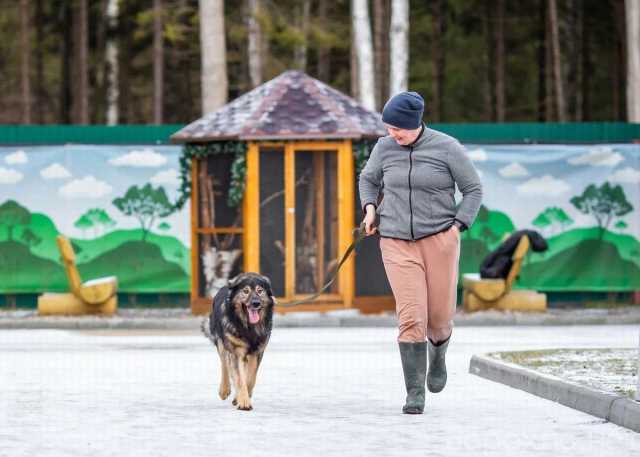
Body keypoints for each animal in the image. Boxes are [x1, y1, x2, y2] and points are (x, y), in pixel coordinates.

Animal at [201, 272, 275, 411]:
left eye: (260, 291)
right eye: (245, 291)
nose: (256, 303)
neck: (248, 327)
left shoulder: (257, 353)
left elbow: (250, 378)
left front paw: (241, 397)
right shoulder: (236, 352)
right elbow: (240, 378)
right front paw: (244, 402)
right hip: (221, 343)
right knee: (225, 364)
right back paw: (224, 389)